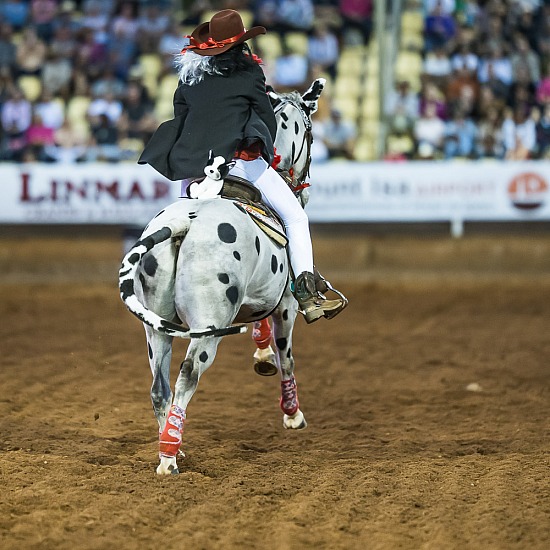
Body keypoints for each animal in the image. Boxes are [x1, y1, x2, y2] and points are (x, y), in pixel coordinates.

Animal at [120, 78, 328, 478]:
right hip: (208, 327)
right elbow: (287, 357)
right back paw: (169, 457)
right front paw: (292, 414)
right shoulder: (287, 306)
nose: (306, 187)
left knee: (158, 386)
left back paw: (171, 446)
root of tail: (181, 223)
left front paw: (261, 355)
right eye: (310, 133)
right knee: (186, 375)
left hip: (156, 328)